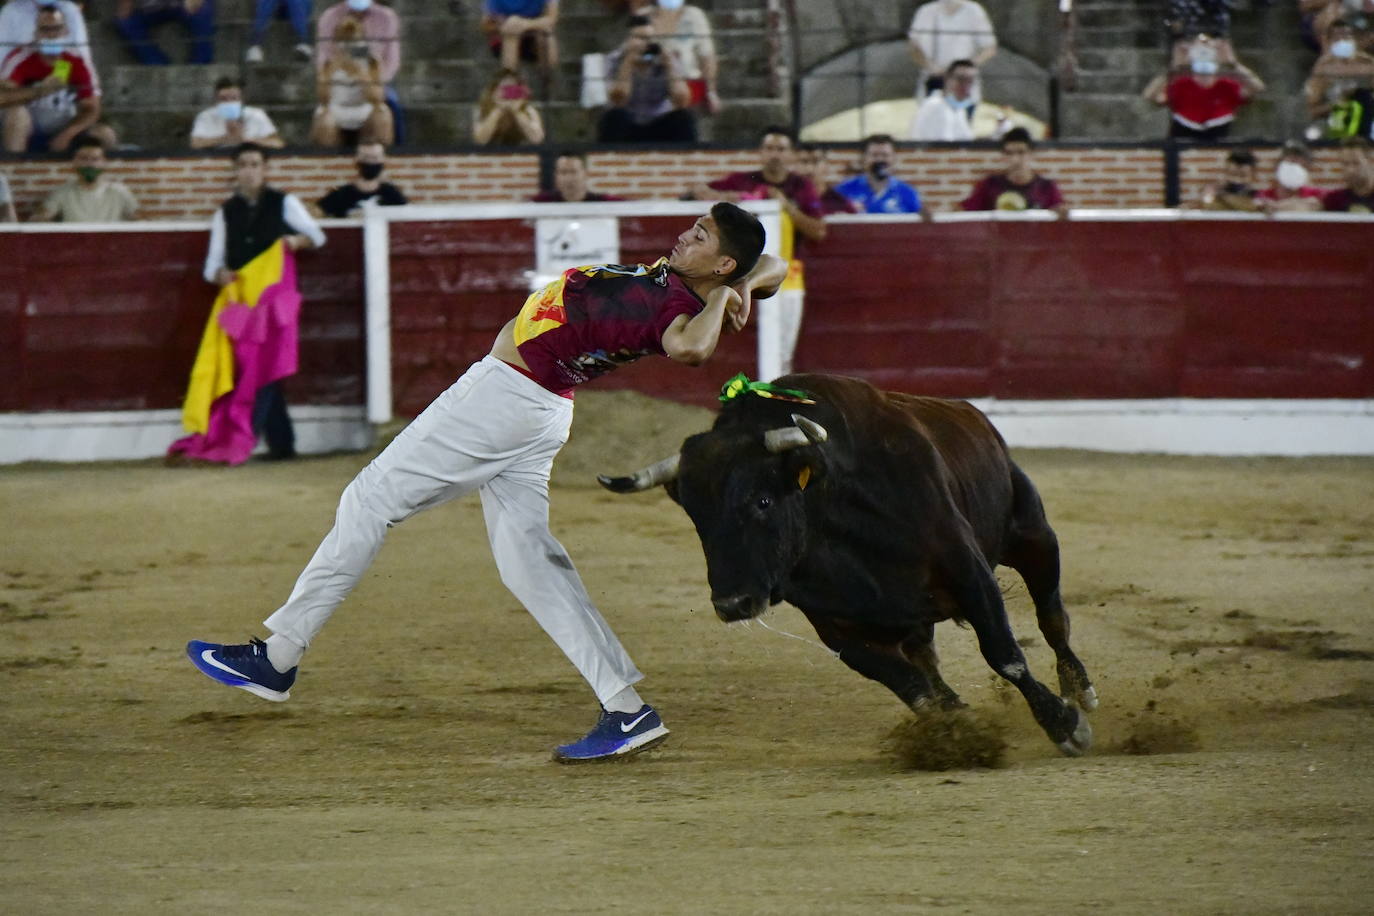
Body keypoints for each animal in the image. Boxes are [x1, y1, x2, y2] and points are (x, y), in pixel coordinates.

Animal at [599, 376, 1093, 758]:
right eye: (696, 517)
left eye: (762, 500)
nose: (733, 603)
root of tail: (972, 415)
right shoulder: (838, 631)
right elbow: (914, 689)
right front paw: (957, 732)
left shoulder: (970, 573)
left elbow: (1004, 655)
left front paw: (1065, 726)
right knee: (926, 660)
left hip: (1032, 535)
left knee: (1052, 618)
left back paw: (1079, 692)